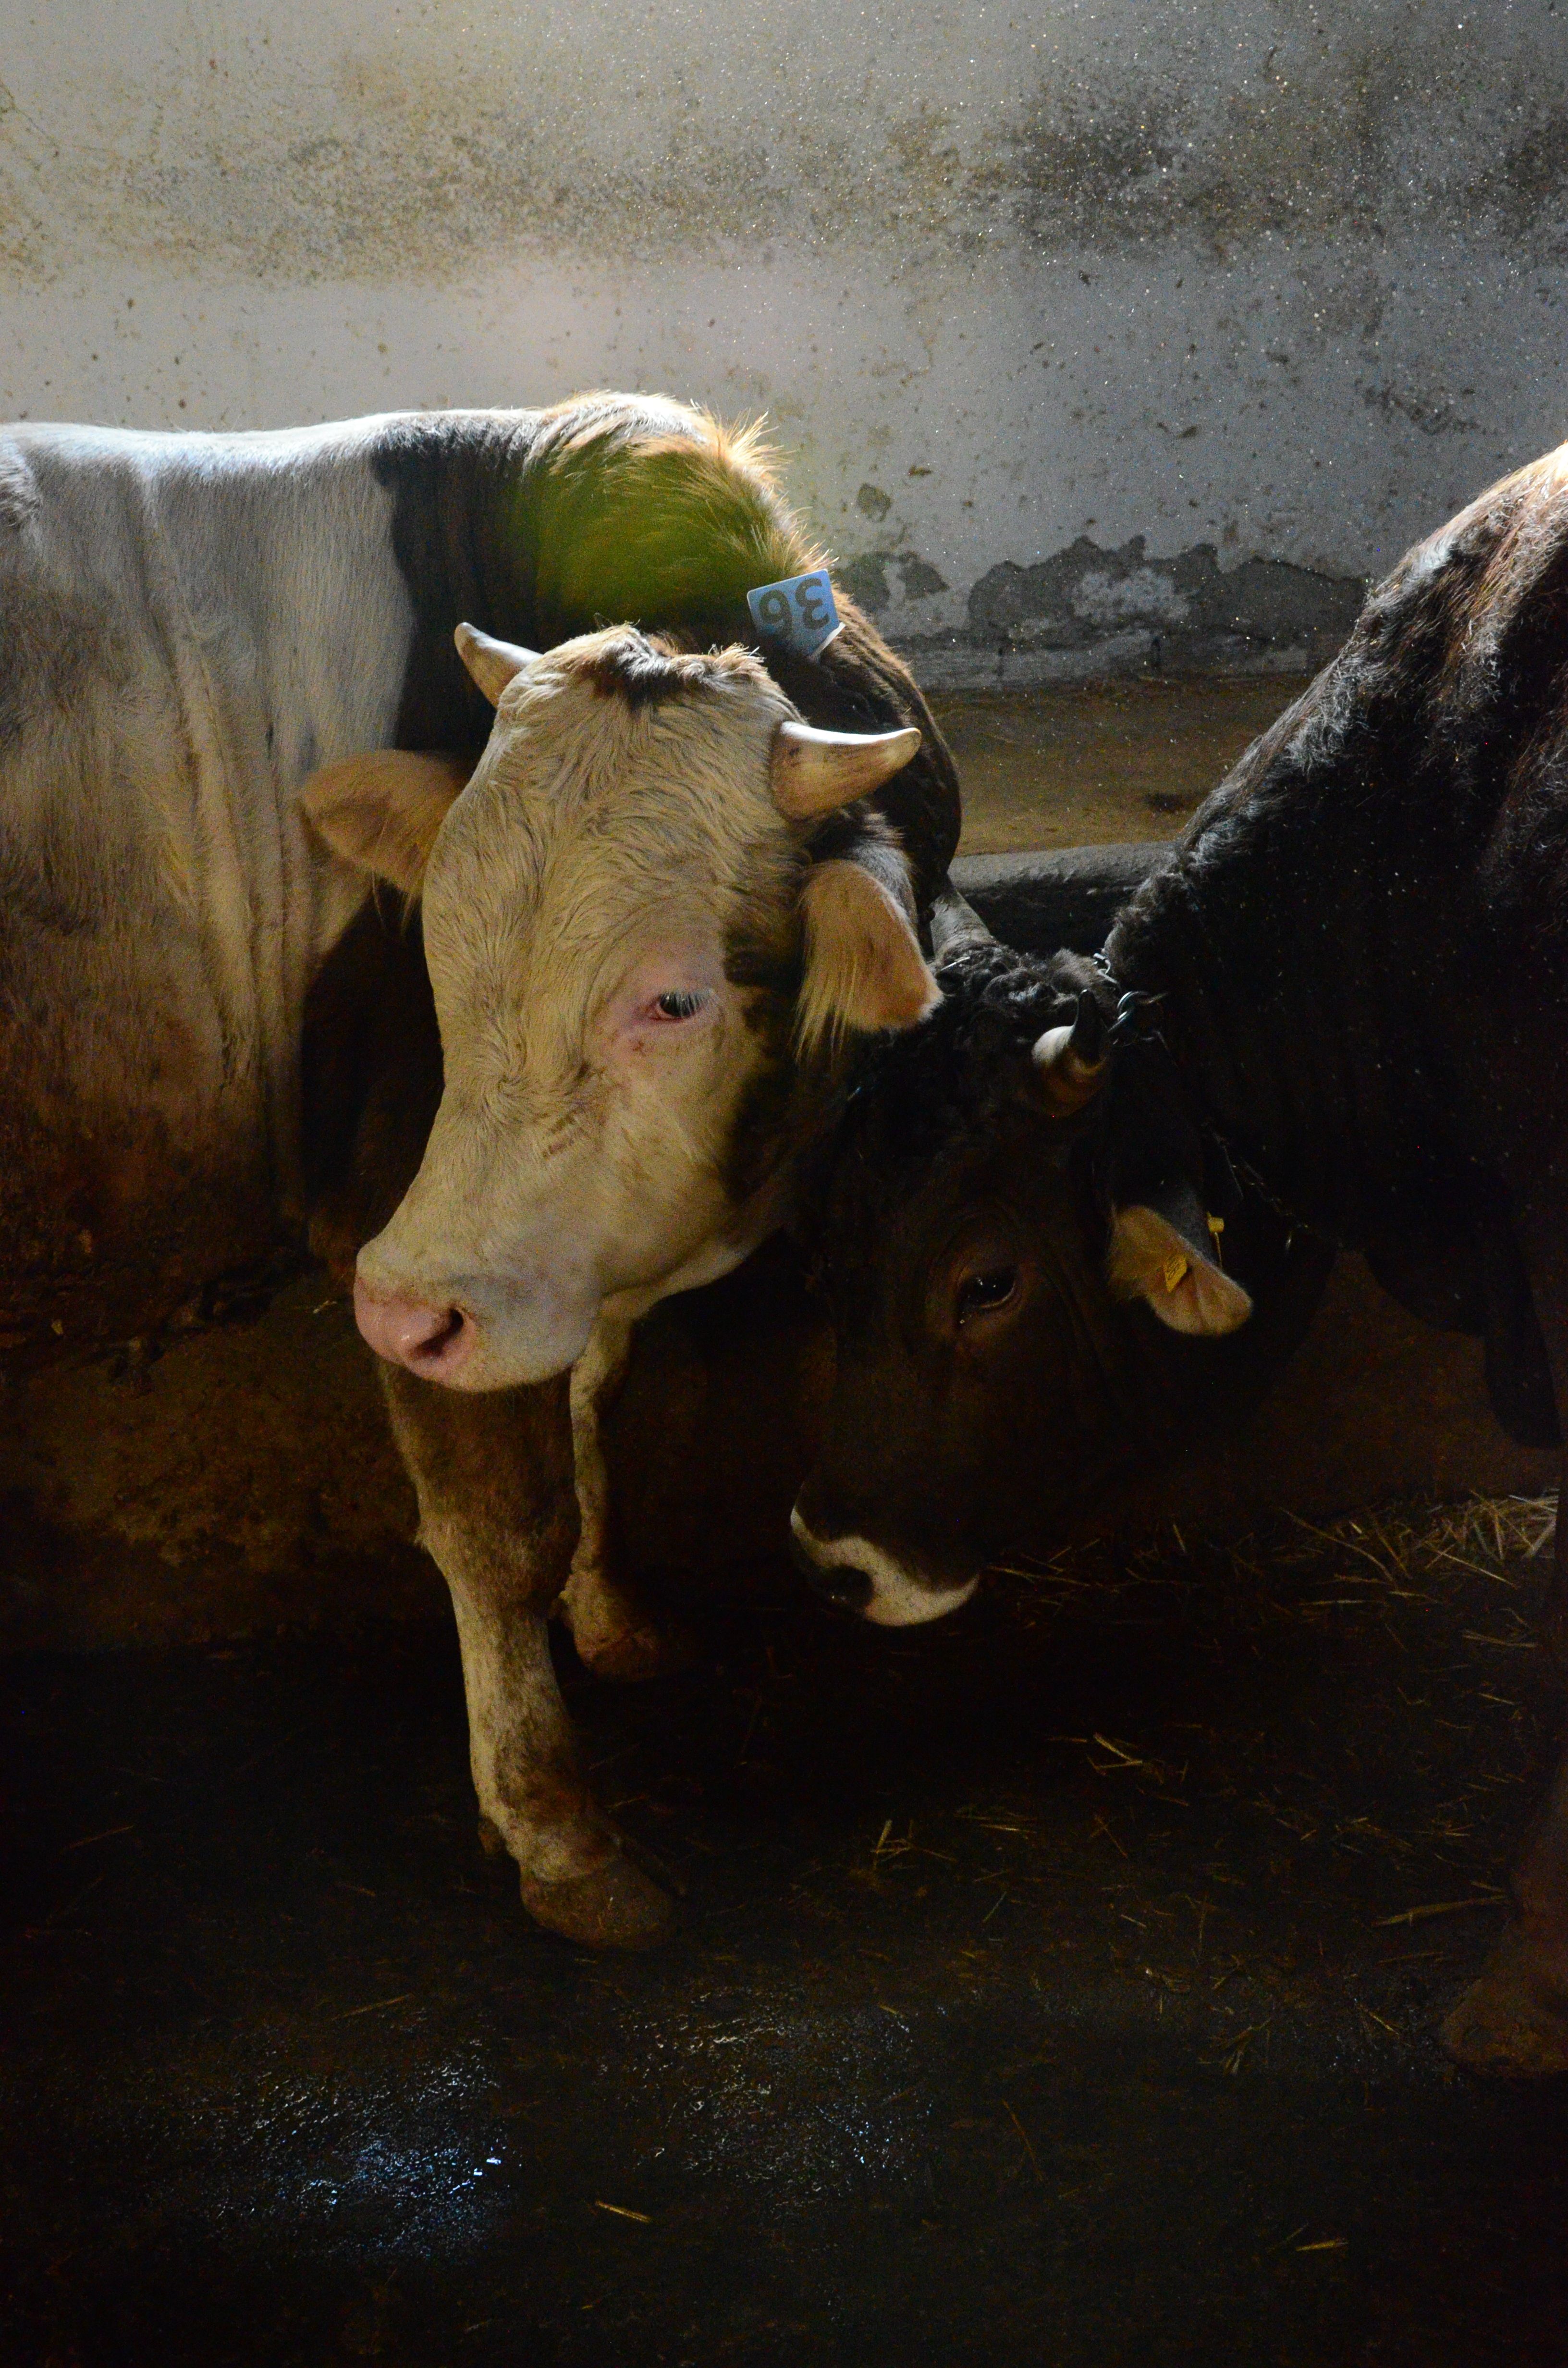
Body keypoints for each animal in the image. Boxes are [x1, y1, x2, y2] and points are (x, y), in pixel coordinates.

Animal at [0, 390, 959, 1946]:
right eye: (429, 943)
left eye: (672, 1000)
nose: (400, 1309)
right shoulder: (400, 1214)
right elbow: (496, 1522)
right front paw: (557, 1829)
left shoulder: (542, 1258)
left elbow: (590, 1399)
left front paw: (614, 1617)